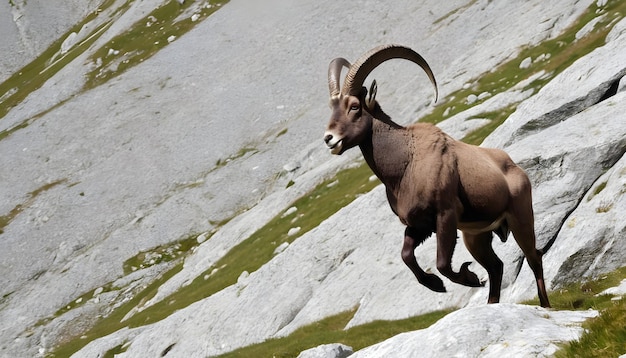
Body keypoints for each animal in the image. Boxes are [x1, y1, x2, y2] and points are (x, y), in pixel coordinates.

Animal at [324, 44, 548, 308]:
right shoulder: (419, 224)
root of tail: (516, 169)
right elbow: (406, 255)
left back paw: (545, 305)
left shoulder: (446, 215)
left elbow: (442, 263)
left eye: (354, 106)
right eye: (333, 108)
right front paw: (437, 284)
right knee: (496, 267)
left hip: (520, 218)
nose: (329, 139)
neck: (405, 165)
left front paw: (467, 278)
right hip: (476, 236)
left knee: (534, 257)